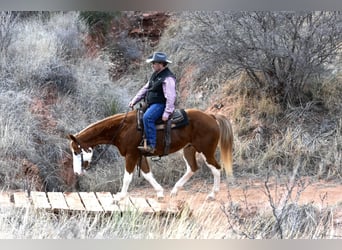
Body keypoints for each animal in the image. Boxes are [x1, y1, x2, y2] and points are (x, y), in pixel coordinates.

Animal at [67, 109, 232, 201]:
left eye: (76, 152)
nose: (76, 172)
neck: (122, 129)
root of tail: (211, 116)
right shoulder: (140, 156)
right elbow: (147, 174)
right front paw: (160, 192)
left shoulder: (131, 155)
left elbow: (127, 177)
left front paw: (119, 197)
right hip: (188, 149)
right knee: (192, 168)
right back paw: (175, 190)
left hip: (206, 151)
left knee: (216, 168)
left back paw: (212, 194)